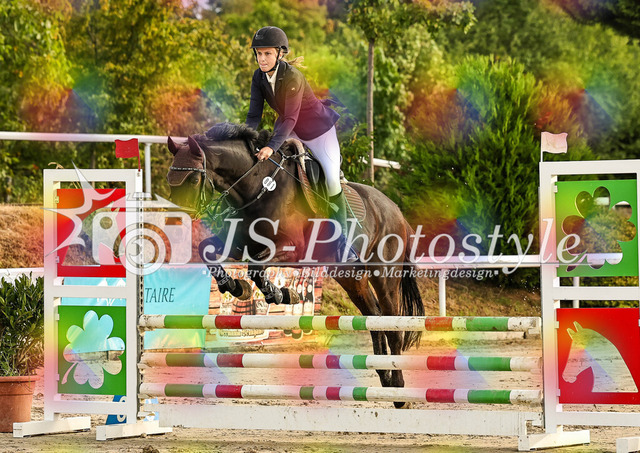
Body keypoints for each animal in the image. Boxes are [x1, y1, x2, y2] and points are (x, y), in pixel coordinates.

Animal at [166, 123, 424, 407]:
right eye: (169, 179)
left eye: (192, 179)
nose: (179, 222)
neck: (257, 188)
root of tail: (395, 209)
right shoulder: (240, 244)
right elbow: (209, 253)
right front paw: (235, 287)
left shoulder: (291, 249)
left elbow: (257, 268)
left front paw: (280, 294)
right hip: (351, 278)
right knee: (374, 318)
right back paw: (385, 377)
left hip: (385, 276)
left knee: (392, 324)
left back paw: (398, 390)